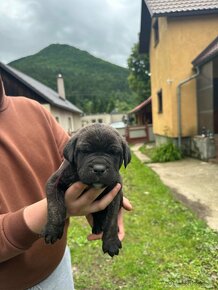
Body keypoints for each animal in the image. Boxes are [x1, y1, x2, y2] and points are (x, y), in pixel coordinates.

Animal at [42, 122, 131, 256]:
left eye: (113, 152)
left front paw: (111, 242)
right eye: (85, 151)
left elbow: (111, 219)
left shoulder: (115, 193)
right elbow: (55, 208)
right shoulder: (54, 183)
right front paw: (52, 230)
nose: (99, 168)